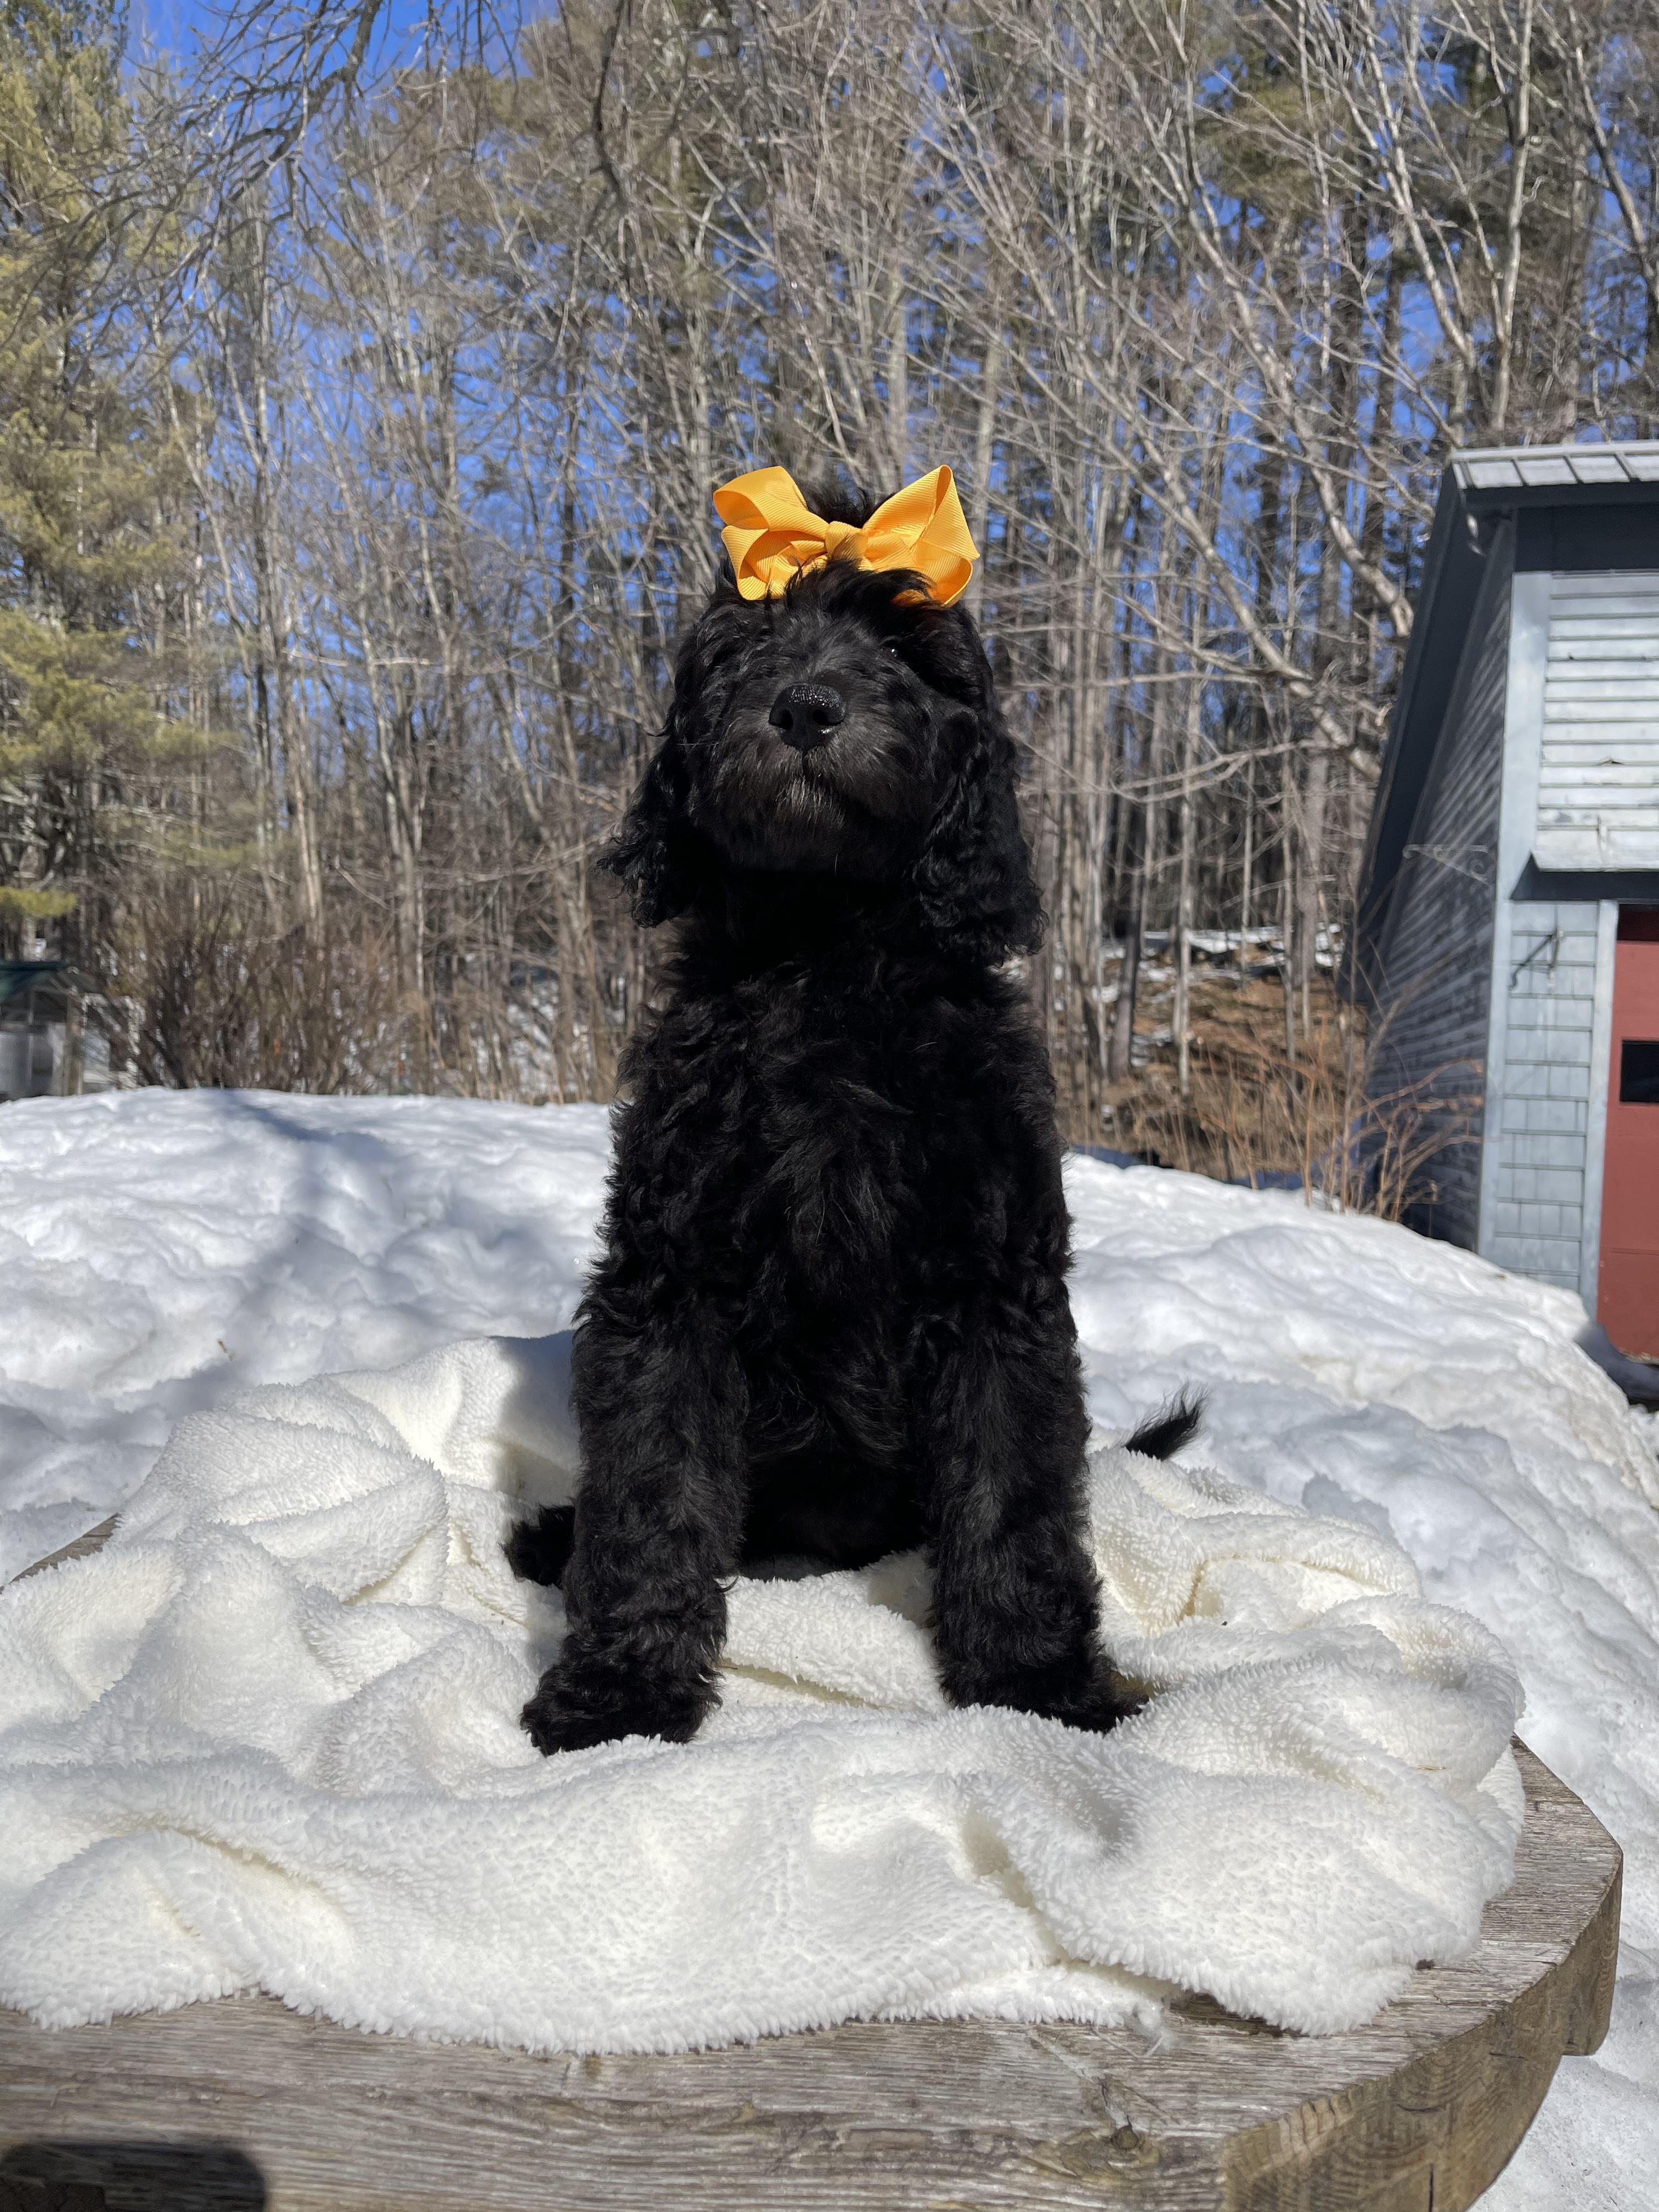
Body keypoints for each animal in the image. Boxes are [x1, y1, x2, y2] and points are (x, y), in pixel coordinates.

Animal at [511, 484, 1197, 1754]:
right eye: (743, 650)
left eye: (901, 653)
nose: (805, 708)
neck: (827, 953)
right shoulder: (667, 1283)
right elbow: (652, 1489)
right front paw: (620, 1693)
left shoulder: (995, 1291)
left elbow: (1013, 1495)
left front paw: (1037, 1681)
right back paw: (552, 1537)